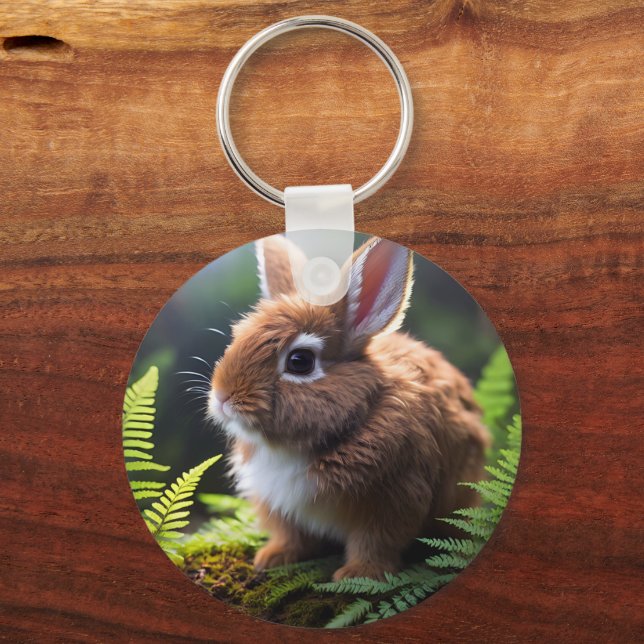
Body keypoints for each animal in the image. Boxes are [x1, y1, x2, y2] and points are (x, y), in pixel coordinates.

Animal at [208, 234, 491, 581]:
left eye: (300, 361)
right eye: (238, 337)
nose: (222, 397)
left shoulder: (392, 498)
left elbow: (375, 542)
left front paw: (358, 575)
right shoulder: (278, 503)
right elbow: (291, 535)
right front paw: (271, 558)